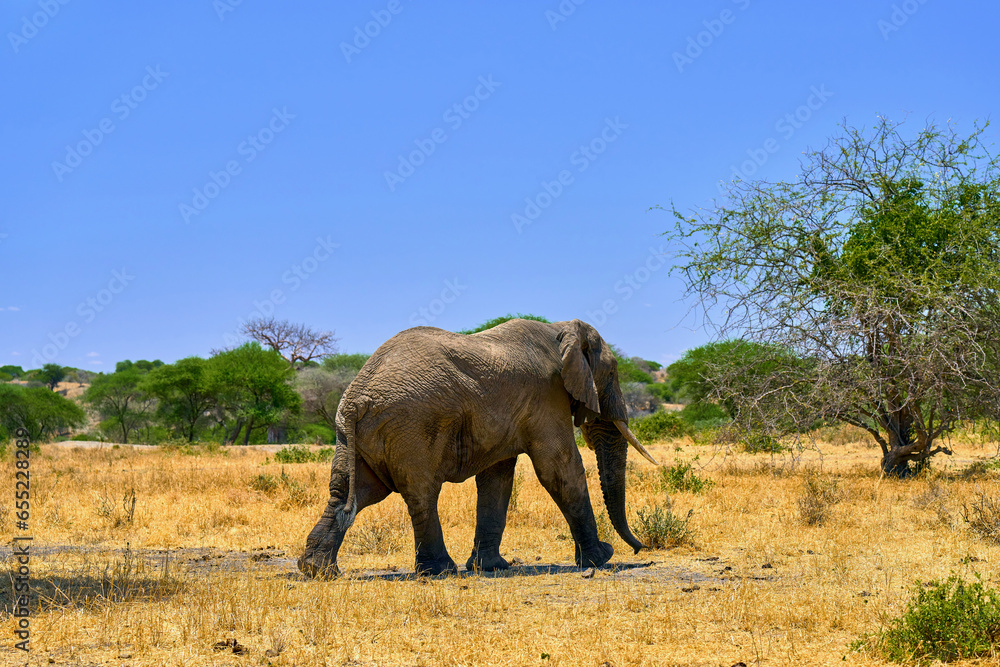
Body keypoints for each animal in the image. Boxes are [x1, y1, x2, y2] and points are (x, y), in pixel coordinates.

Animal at [296, 320, 656, 580]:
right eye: (612, 372)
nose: (641, 549)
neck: (561, 328)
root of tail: (357, 399)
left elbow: (497, 481)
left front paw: (492, 567)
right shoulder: (547, 395)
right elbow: (559, 469)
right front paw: (600, 557)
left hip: (355, 436)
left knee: (350, 492)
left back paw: (317, 570)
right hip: (410, 427)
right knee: (420, 493)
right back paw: (440, 570)